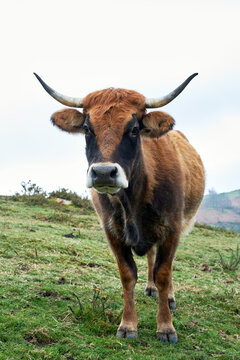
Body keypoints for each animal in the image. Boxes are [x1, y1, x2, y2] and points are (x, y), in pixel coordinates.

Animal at [34, 72, 205, 344]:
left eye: (134, 129)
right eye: (87, 128)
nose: (104, 172)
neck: (133, 199)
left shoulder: (172, 229)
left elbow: (164, 273)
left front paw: (166, 327)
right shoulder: (112, 231)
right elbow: (127, 274)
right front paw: (128, 324)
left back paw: (167, 296)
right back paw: (150, 288)